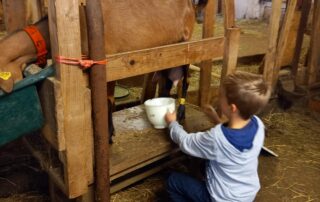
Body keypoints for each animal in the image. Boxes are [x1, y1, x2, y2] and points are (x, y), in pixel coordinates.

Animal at [0, 0, 208, 142]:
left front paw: (108, 134)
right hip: (165, 52)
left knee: (185, 81)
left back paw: (181, 112)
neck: (81, 22)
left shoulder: (110, 65)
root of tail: (190, 5)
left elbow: (108, 101)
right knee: (166, 80)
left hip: (186, 45)